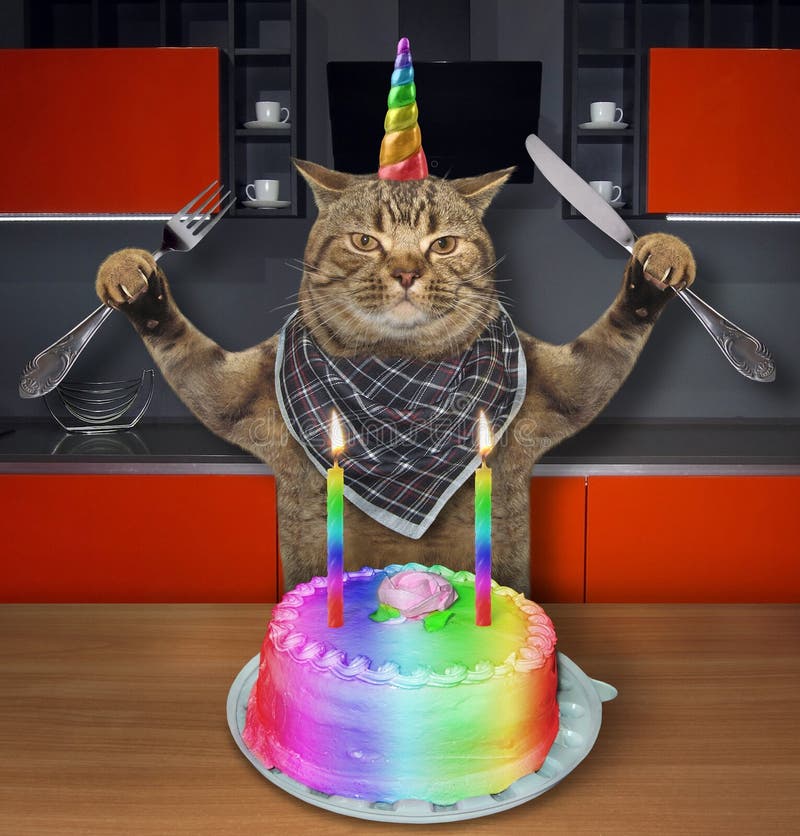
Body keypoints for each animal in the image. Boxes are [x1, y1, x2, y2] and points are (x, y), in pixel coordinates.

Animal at [95, 160, 692, 592]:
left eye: (443, 244)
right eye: (365, 241)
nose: (406, 272)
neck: (401, 381)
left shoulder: (563, 385)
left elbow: (610, 342)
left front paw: (656, 262)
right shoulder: (237, 392)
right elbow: (185, 350)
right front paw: (134, 277)